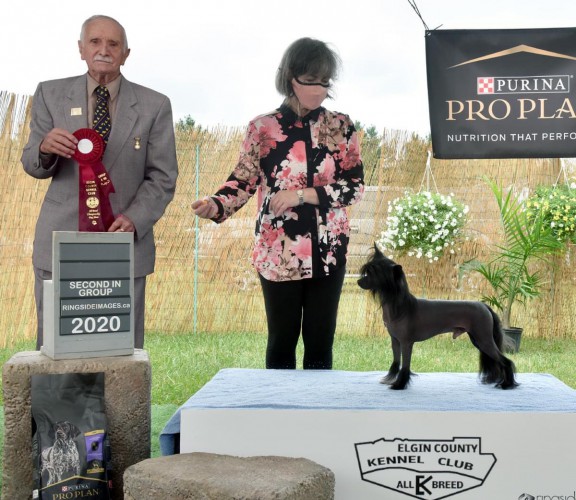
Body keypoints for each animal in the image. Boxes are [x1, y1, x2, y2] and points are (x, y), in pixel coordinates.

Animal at [358, 245, 518, 390]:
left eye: (372, 273)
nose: (358, 282)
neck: (401, 307)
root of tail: (484, 306)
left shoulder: (406, 343)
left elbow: (405, 365)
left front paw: (399, 384)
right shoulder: (395, 341)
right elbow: (396, 362)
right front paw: (391, 379)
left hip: (483, 339)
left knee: (506, 361)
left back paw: (507, 384)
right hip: (477, 339)